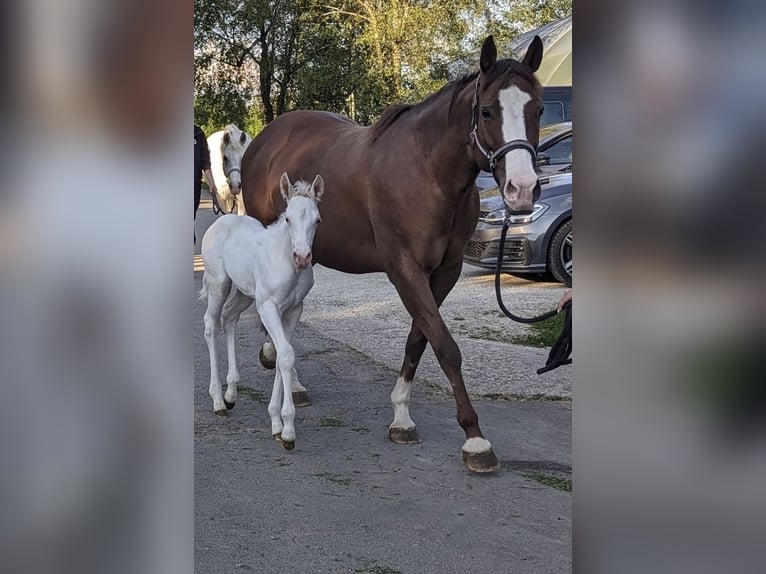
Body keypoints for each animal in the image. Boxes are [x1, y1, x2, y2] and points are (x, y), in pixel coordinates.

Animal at [200, 173, 322, 452]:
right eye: (287, 218)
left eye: (317, 220)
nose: (302, 257)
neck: (285, 260)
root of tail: (221, 220)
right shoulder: (267, 306)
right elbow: (285, 355)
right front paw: (288, 431)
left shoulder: (294, 309)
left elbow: (281, 356)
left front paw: (277, 424)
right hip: (218, 283)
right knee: (211, 324)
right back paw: (218, 401)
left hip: (245, 293)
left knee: (229, 317)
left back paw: (231, 393)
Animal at [240, 37, 544, 476]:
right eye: (488, 110)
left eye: (538, 109)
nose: (522, 189)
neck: (428, 172)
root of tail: (266, 137)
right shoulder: (404, 269)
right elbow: (445, 346)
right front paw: (475, 439)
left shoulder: (444, 271)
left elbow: (419, 338)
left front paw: (401, 416)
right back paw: (282, 373)